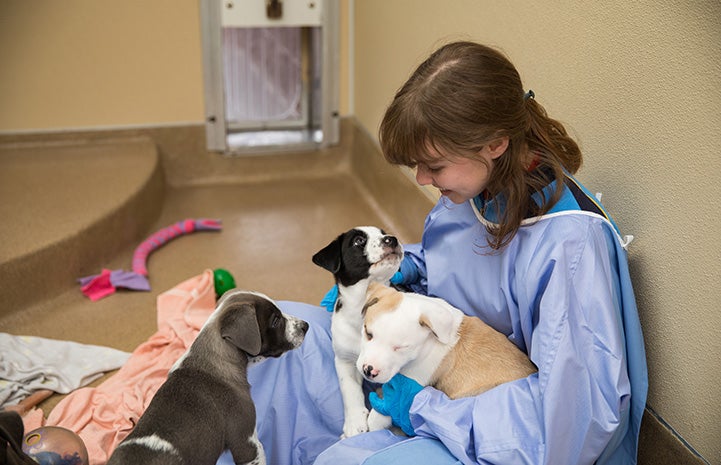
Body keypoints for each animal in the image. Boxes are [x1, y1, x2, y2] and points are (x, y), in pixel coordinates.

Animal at [310, 227, 402, 436]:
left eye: (383, 233)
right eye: (358, 241)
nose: (392, 239)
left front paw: (377, 420)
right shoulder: (344, 360)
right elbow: (349, 390)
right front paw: (354, 423)